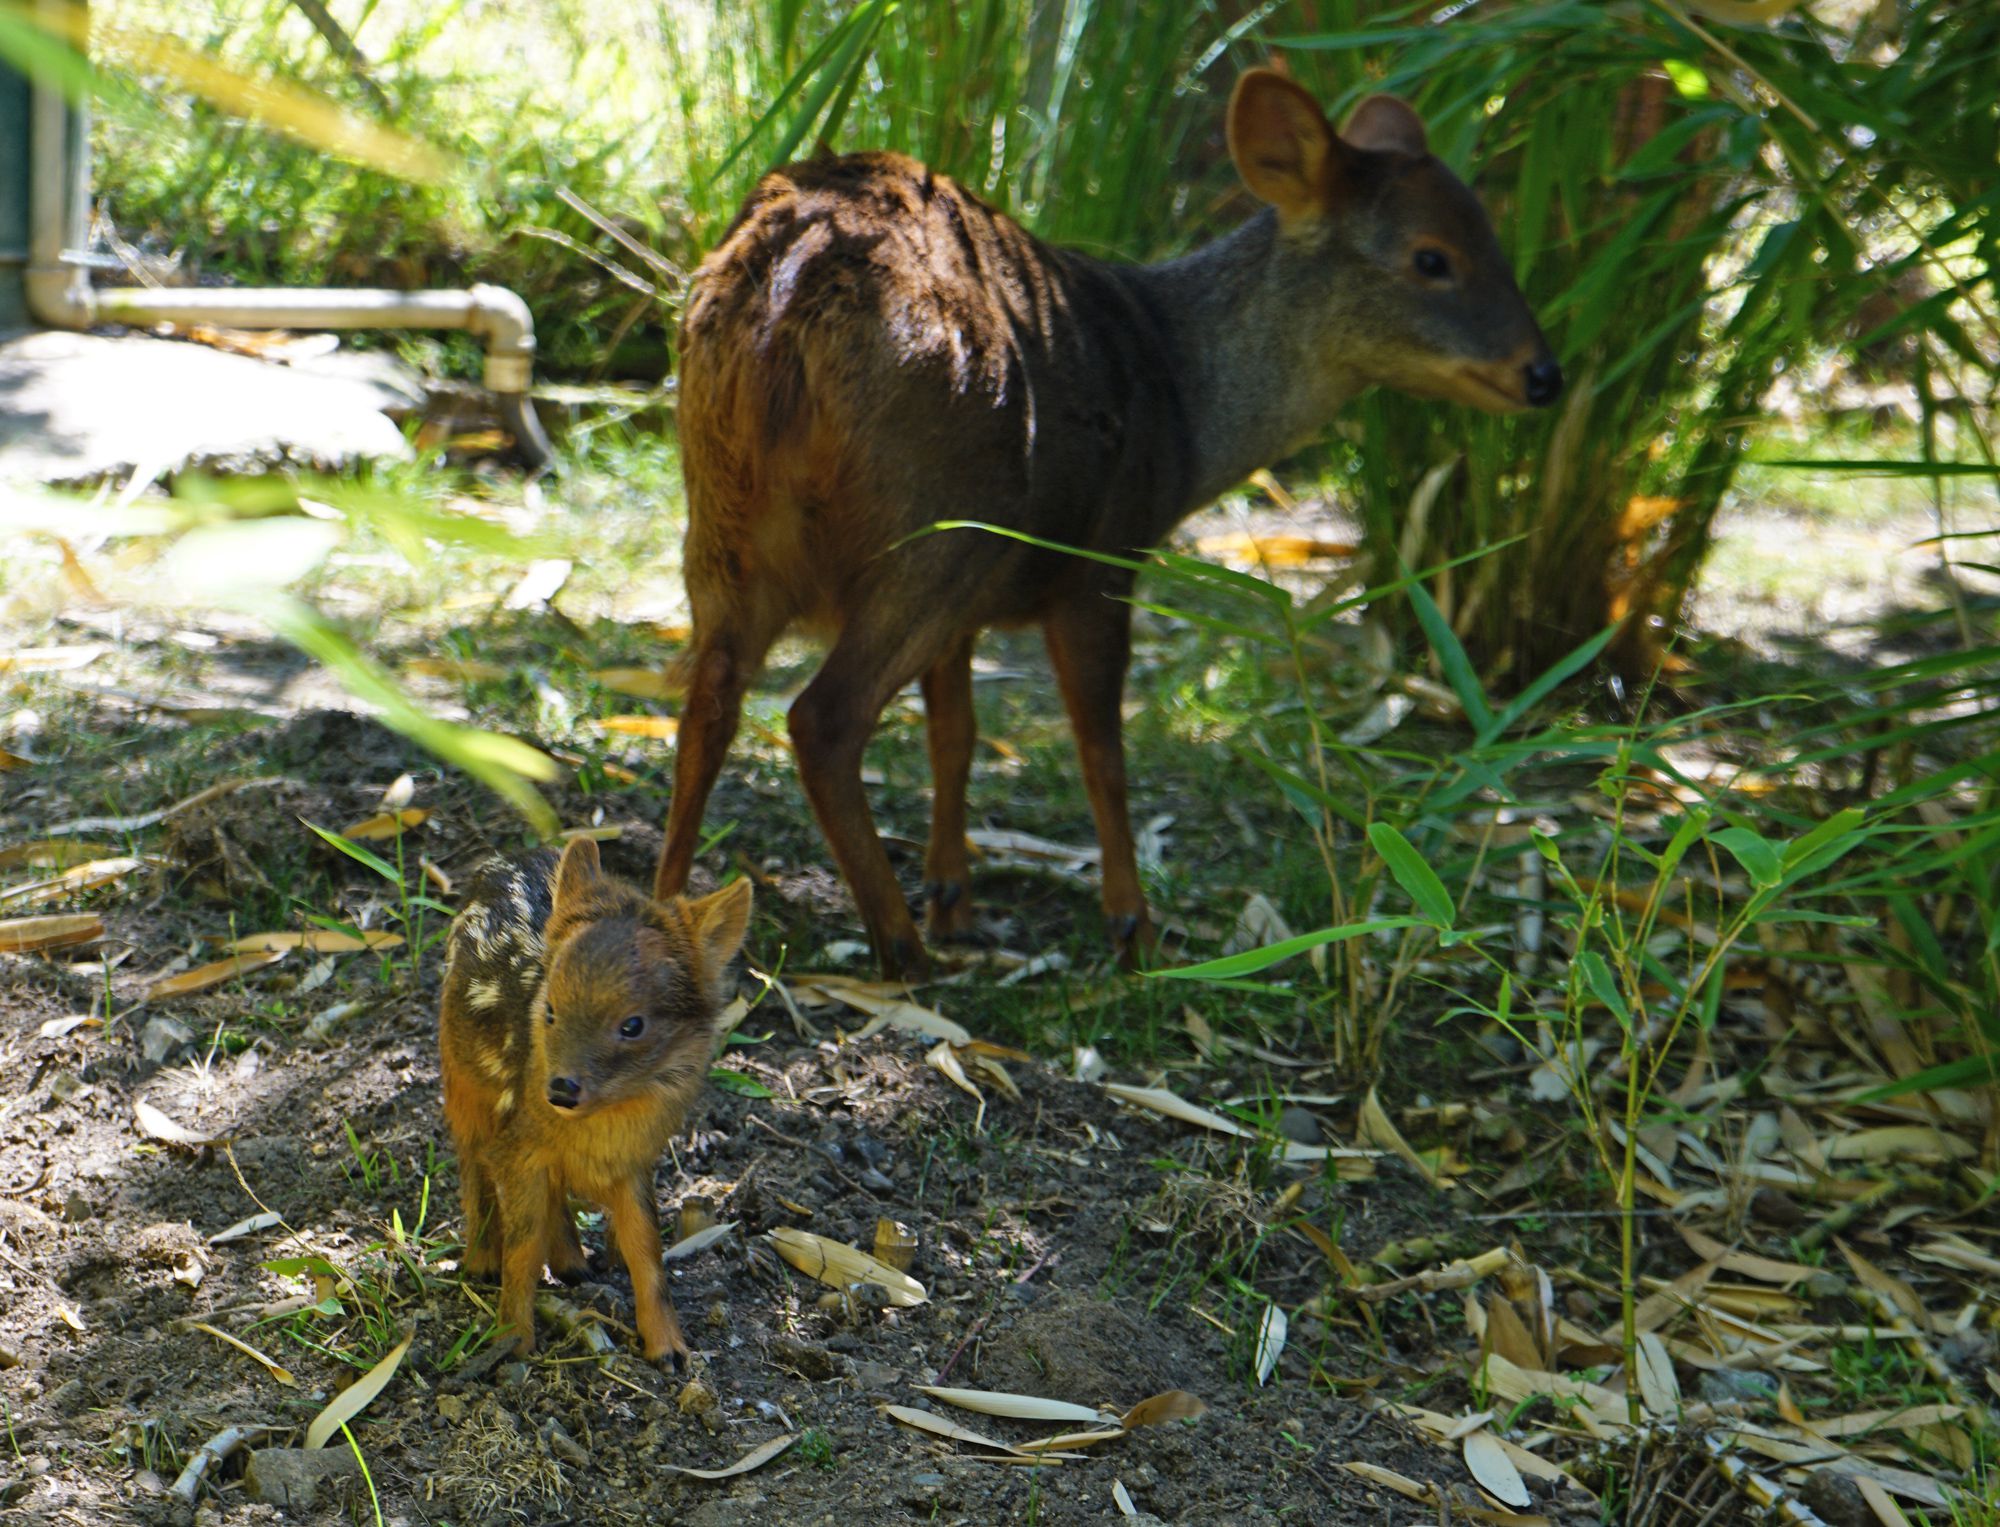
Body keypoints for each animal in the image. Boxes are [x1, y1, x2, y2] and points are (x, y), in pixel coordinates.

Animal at [656, 65, 1560, 979]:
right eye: (1431, 257)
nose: (1544, 374)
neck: (1180, 398)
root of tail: (788, 292)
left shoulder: (977, 608)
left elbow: (957, 732)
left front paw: (954, 896)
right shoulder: (1102, 557)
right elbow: (1102, 750)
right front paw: (1134, 926)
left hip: (727, 514)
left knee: (710, 692)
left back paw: (669, 911)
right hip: (941, 520)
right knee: (822, 717)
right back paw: (902, 950)